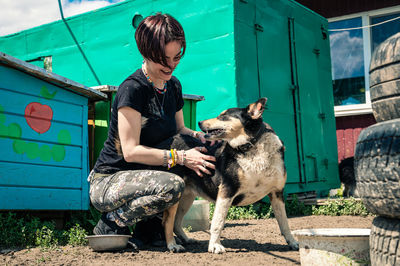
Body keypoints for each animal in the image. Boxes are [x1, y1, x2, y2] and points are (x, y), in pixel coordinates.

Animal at [155, 97, 298, 254]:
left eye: (223, 116)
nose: (199, 122)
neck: (251, 146)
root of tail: (168, 141)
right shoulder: (226, 191)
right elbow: (217, 222)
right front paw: (214, 246)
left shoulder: (277, 193)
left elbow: (284, 223)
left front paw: (292, 242)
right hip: (177, 194)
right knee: (167, 221)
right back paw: (172, 245)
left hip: (186, 197)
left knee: (176, 222)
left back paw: (186, 239)